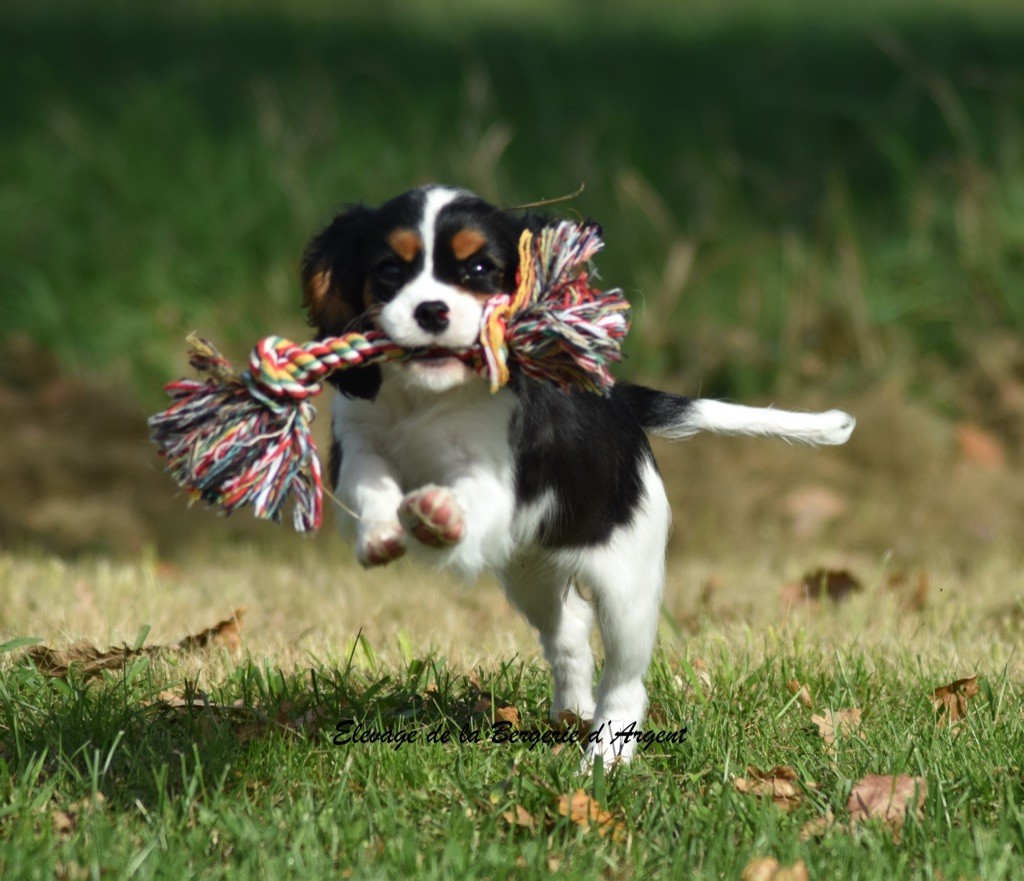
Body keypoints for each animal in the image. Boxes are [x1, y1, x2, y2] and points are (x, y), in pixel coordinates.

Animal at [301, 187, 856, 762]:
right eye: (389, 269)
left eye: (479, 268)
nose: (431, 310)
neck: (428, 394)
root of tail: (621, 405)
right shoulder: (358, 438)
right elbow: (369, 482)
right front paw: (381, 533)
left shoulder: (495, 474)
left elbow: (471, 496)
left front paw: (437, 513)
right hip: (531, 575)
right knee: (569, 629)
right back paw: (571, 710)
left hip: (628, 591)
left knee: (627, 681)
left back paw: (605, 755)